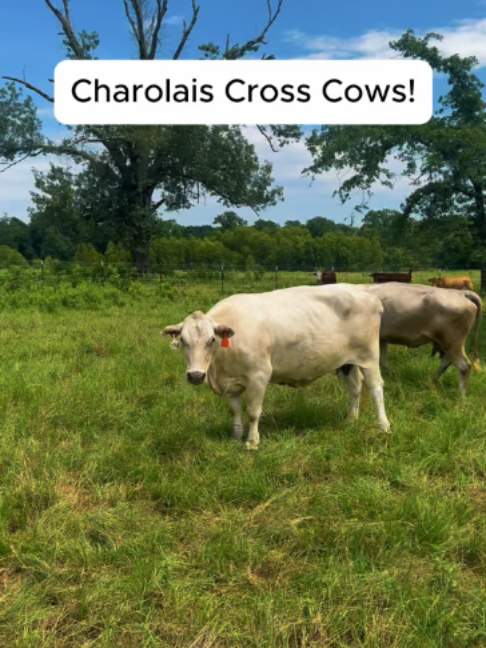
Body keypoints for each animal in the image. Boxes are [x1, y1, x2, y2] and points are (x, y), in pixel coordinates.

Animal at [162, 284, 391, 450]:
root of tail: (366, 293)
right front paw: (236, 435)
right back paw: (351, 421)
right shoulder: (231, 381)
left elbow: (253, 412)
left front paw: (252, 442)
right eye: (183, 340)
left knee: (376, 387)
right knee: (355, 387)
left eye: (211, 340)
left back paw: (383, 426)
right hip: (348, 362)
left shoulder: (259, 375)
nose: (196, 376)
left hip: (370, 356)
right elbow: (235, 410)